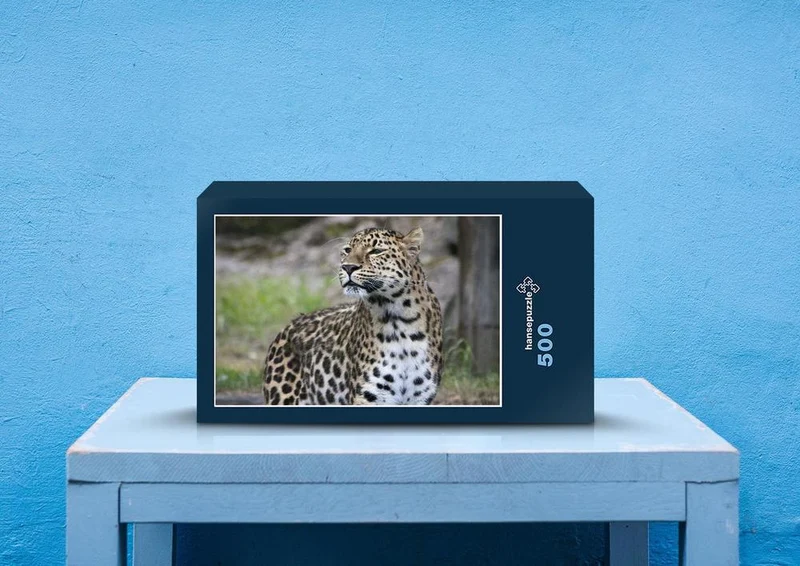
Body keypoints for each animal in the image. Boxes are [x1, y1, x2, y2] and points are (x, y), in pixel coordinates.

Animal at [261, 226, 443, 405]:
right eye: (347, 250)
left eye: (376, 251)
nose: (348, 267)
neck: (399, 319)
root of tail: (288, 326)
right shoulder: (369, 397)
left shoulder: (419, 398)